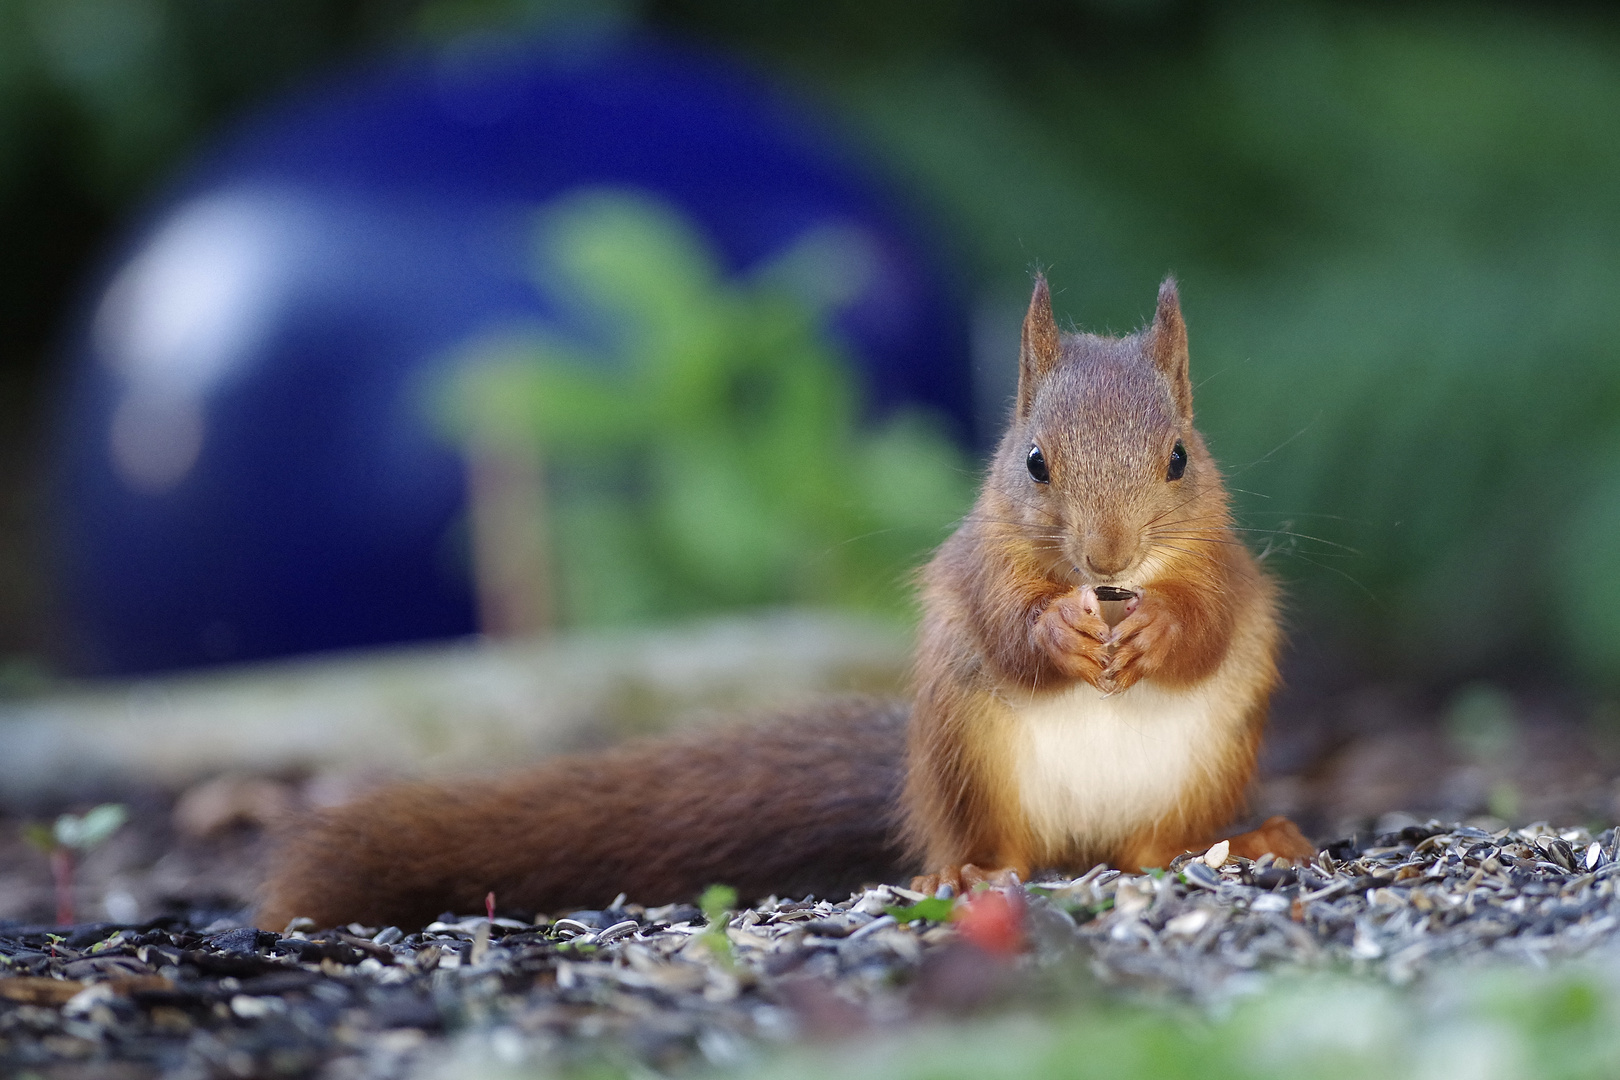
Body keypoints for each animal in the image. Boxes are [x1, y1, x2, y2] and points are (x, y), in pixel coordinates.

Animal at [255, 276, 1315, 932]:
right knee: (997, 847)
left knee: (1156, 848)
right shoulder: (978, 570)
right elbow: (1005, 622)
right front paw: (1058, 627)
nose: (1108, 558)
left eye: (1178, 457)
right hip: (967, 760)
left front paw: (1156, 628)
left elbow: (1209, 620)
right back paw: (965, 873)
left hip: (1201, 768)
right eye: (1033, 461)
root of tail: (1081, 847)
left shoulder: (1226, 571)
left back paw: (1241, 841)